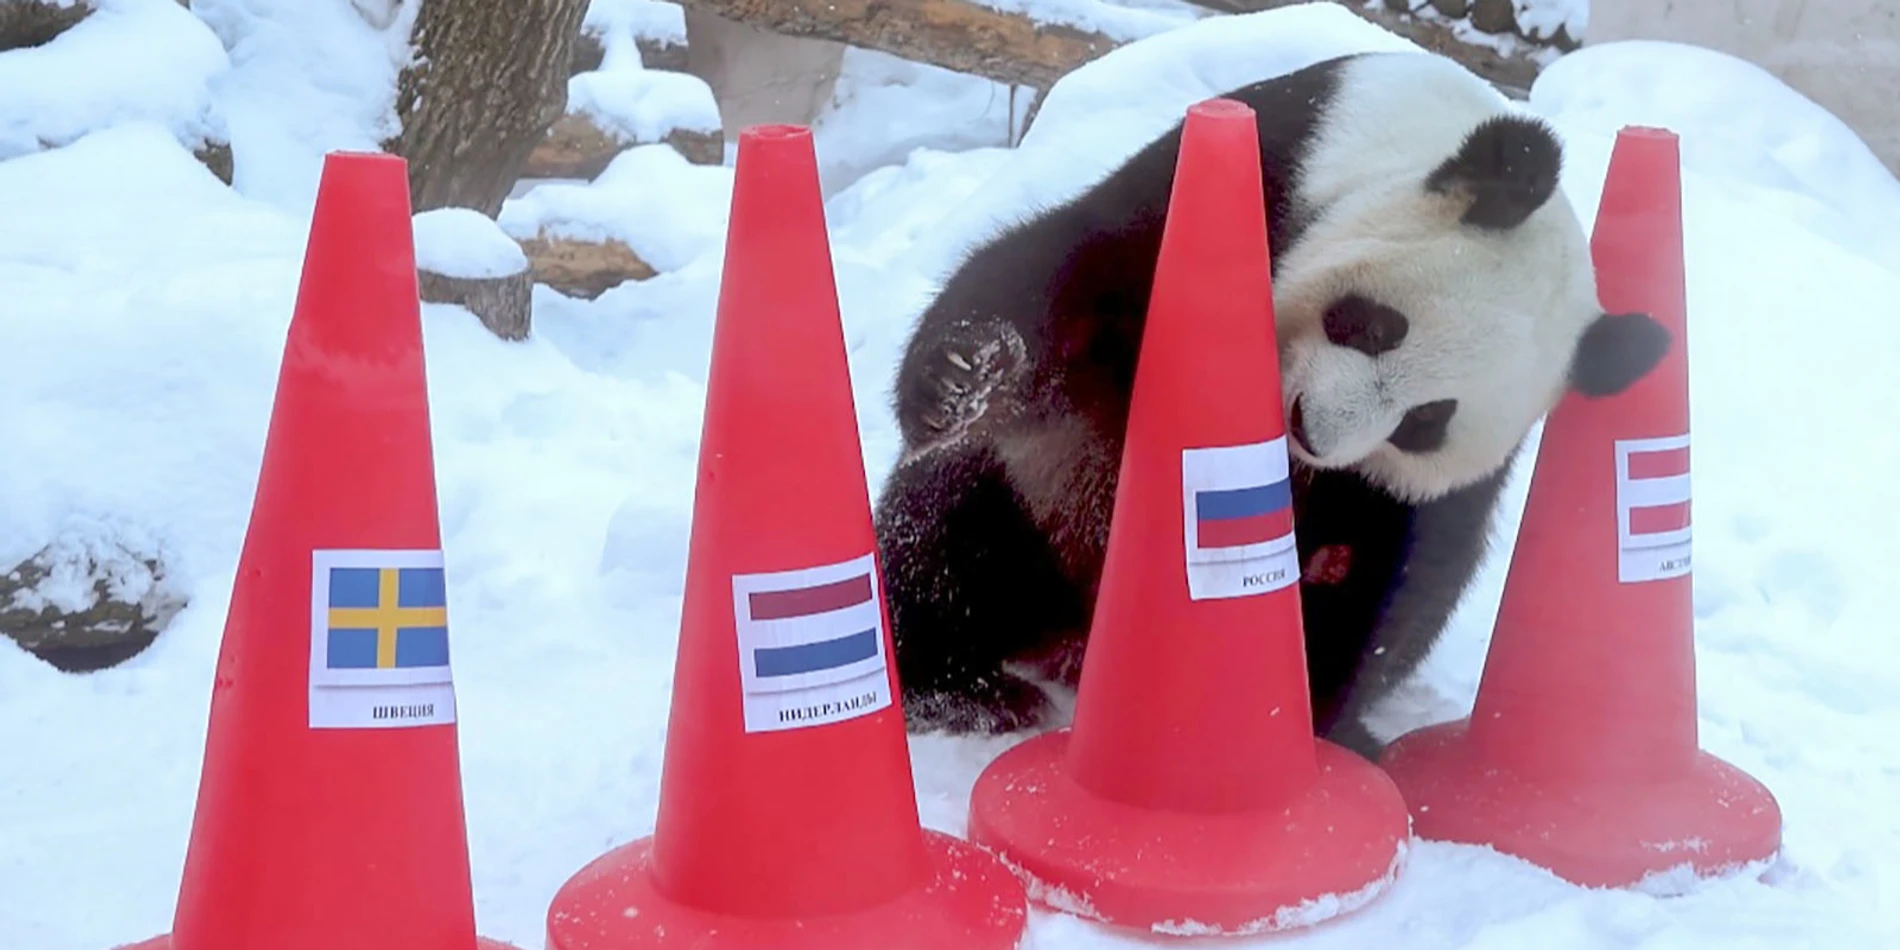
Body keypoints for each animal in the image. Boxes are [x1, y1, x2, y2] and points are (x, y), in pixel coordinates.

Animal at [870, 48, 1672, 760]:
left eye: (1425, 421)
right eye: (1376, 325)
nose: (1313, 430)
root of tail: (1074, 635)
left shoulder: (1448, 478)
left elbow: (1407, 566)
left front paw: (1310, 711)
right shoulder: (1271, 158)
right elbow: (1068, 270)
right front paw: (963, 374)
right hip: (1029, 502)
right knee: (949, 530)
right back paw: (958, 687)